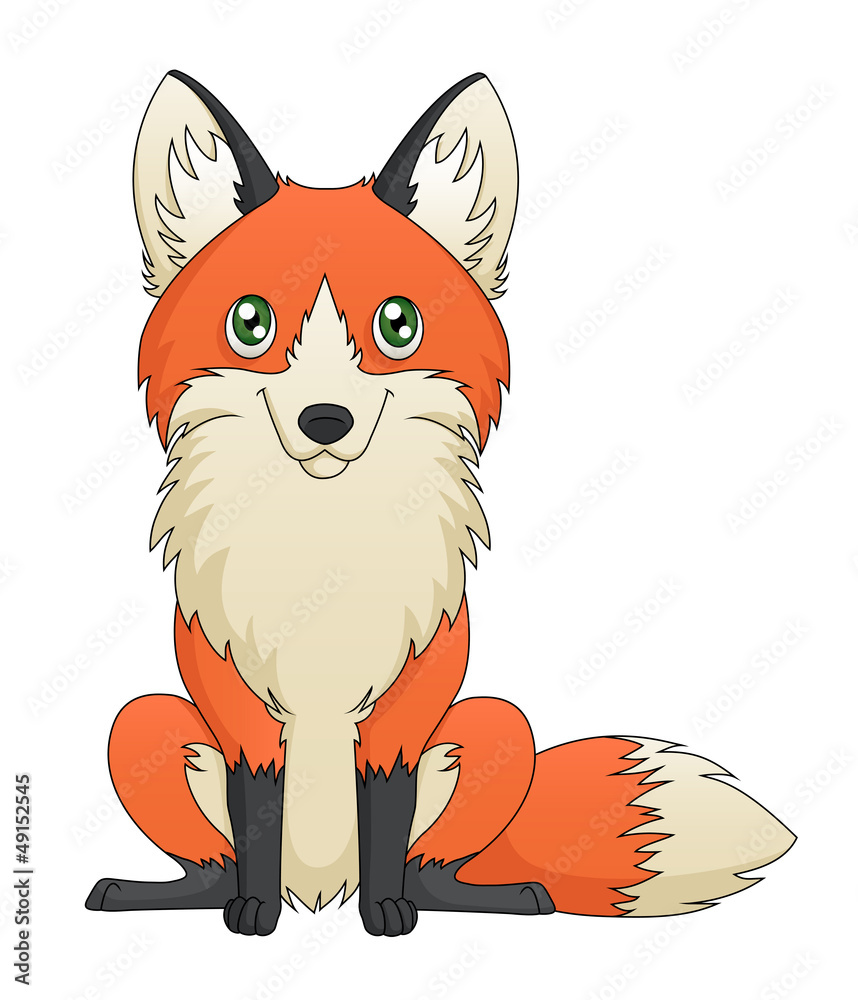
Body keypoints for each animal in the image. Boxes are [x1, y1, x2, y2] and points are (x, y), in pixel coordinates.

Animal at [85, 70, 795, 937]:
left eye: (398, 325)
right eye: (251, 322)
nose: (327, 422)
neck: (323, 551)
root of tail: (321, 889)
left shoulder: (409, 702)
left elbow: (388, 821)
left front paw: (387, 915)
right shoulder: (238, 703)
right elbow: (257, 811)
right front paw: (253, 913)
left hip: (497, 728)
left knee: (437, 866)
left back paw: (486, 895)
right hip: (141, 726)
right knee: (210, 859)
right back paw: (175, 894)